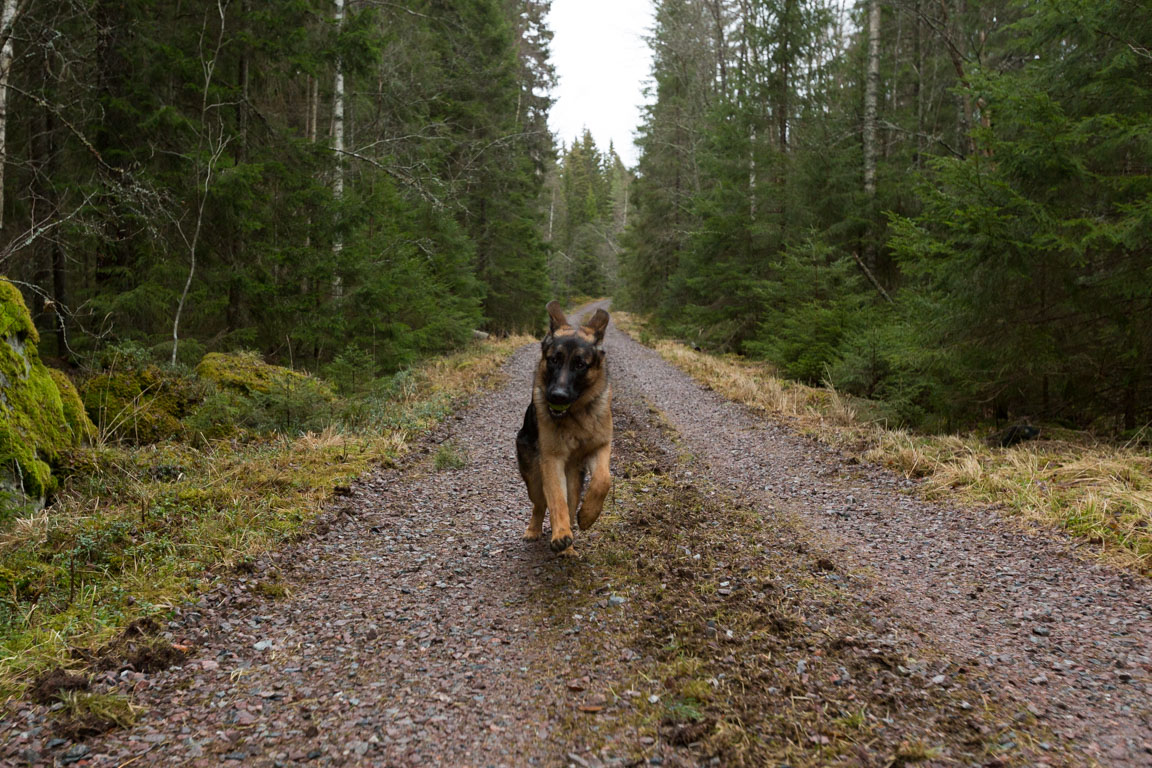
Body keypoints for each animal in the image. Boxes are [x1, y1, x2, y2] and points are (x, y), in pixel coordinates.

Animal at [518, 301, 612, 559]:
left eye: (580, 364)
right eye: (554, 360)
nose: (557, 396)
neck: (576, 416)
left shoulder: (601, 447)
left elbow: (603, 479)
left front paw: (588, 515)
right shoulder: (552, 459)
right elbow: (556, 500)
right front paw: (560, 534)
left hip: (573, 478)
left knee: (570, 502)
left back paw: (569, 544)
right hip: (533, 476)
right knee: (540, 503)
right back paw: (537, 530)